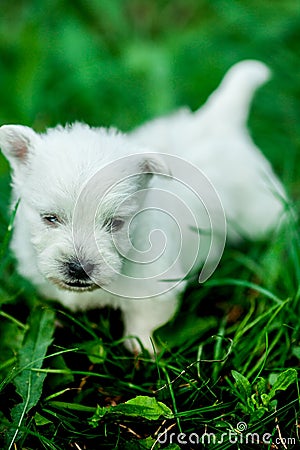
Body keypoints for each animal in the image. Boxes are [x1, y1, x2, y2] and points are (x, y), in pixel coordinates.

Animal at [0, 61, 286, 354]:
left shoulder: (154, 291)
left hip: (261, 209)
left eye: (115, 223)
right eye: (50, 218)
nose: (79, 268)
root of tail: (217, 122)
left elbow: (145, 324)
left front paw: (144, 351)